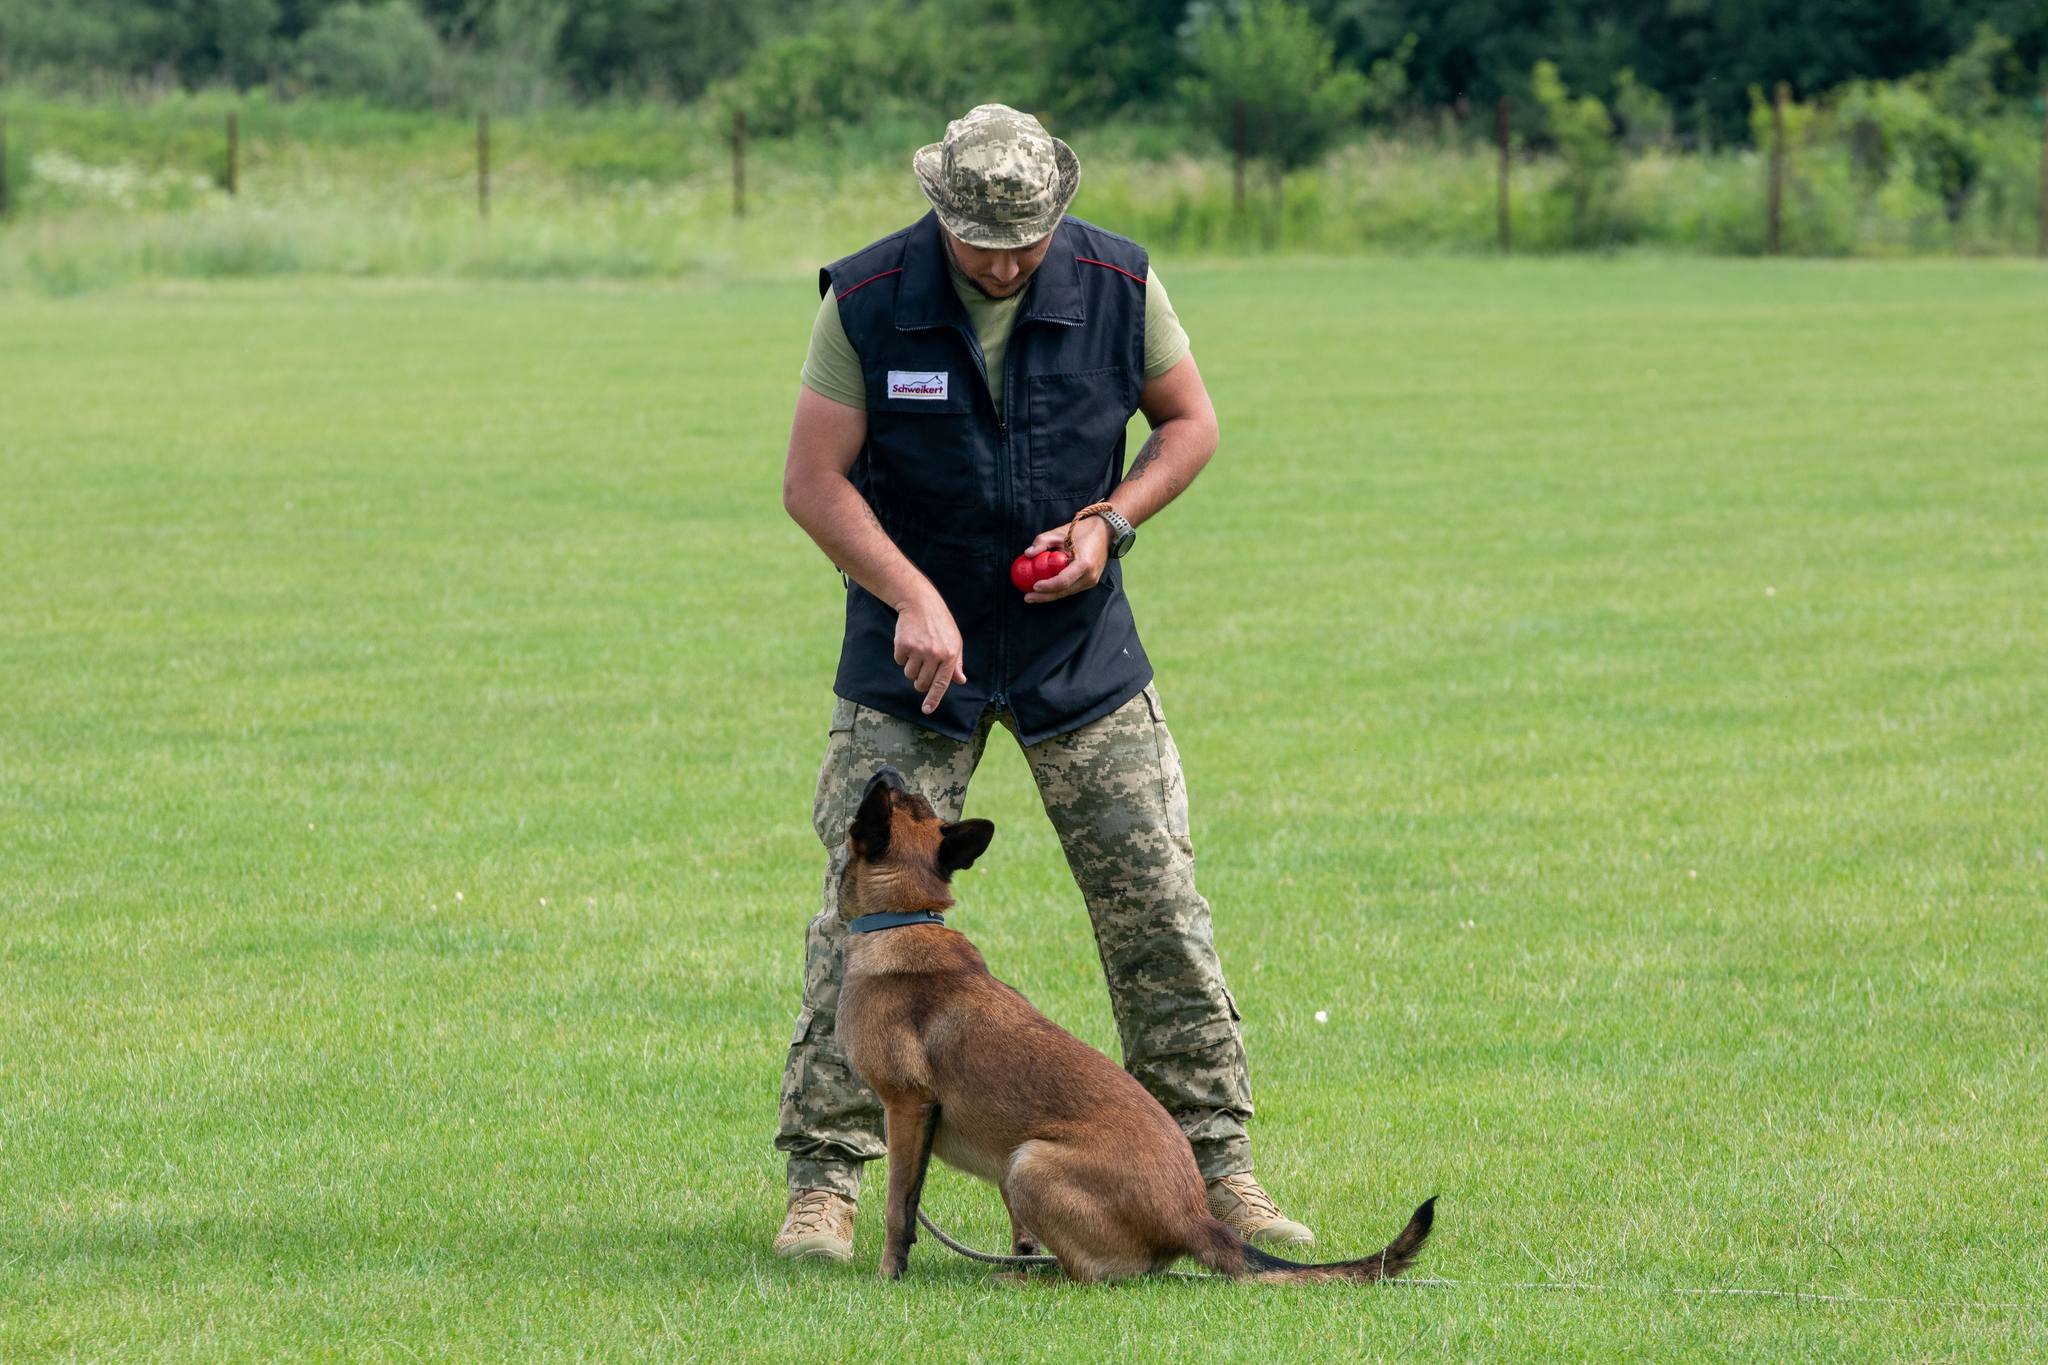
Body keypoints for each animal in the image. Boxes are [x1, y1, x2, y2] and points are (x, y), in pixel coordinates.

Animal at [823, 769, 1433, 1285]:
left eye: (888, 797)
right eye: (914, 800)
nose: (887, 769)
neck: (901, 918)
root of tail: (1193, 1217)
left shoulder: (907, 1108)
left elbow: (899, 1205)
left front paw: (889, 1274)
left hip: (1028, 1162)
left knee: (1087, 1275)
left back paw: (1025, 1280)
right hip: (1017, 1164)